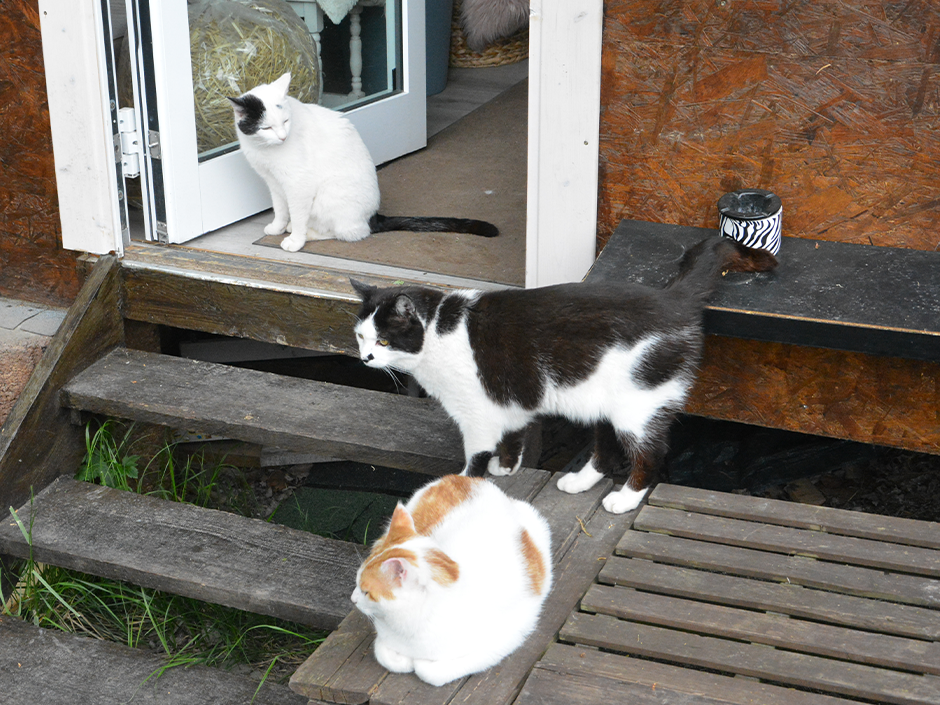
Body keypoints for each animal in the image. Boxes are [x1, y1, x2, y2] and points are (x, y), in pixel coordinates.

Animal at [229, 73, 500, 250]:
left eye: (285, 121)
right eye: (266, 127)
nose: (283, 136)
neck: (263, 149)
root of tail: (374, 216)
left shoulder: (298, 185)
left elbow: (296, 214)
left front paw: (296, 239)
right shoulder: (274, 182)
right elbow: (280, 209)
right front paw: (277, 226)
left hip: (329, 197)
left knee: (350, 233)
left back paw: (309, 233)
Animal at [352, 236, 780, 512]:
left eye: (385, 340)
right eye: (360, 336)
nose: (366, 358)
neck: (439, 330)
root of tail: (671, 298)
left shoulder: (475, 413)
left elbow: (474, 457)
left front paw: (467, 482)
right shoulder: (507, 402)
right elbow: (514, 433)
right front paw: (507, 467)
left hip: (638, 404)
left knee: (651, 453)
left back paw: (625, 499)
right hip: (605, 400)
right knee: (605, 448)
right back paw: (580, 481)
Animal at [356, 472, 556, 680]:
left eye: (366, 592)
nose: (353, 599)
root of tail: (466, 478)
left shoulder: (500, 643)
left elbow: (427, 671)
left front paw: (419, 663)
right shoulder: (383, 638)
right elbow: (385, 654)